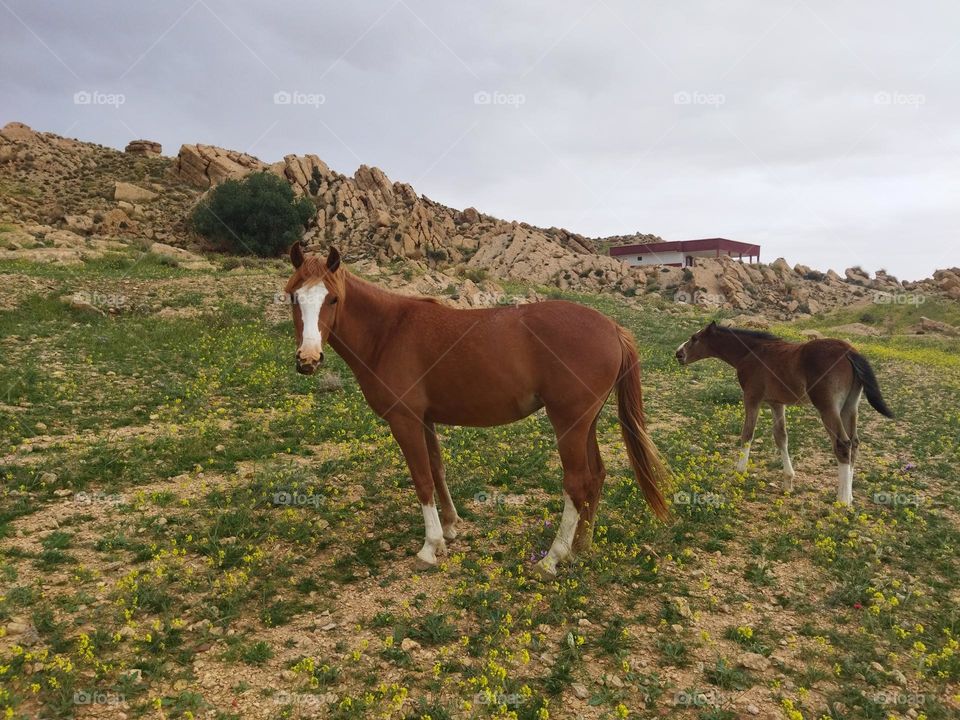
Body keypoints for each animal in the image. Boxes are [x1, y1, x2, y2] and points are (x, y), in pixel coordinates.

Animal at [284, 245, 668, 576]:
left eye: (332, 299)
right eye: (293, 297)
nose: (308, 360)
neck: (389, 332)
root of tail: (613, 328)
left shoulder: (404, 421)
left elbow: (422, 479)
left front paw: (430, 547)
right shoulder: (425, 420)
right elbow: (436, 470)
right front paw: (450, 527)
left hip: (568, 423)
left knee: (576, 483)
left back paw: (553, 558)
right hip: (586, 423)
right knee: (596, 476)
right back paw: (580, 547)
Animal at [676, 324, 892, 504]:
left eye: (694, 338)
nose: (678, 353)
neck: (750, 352)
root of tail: (851, 352)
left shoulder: (752, 397)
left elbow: (747, 434)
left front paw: (739, 472)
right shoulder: (776, 403)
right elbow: (781, 437)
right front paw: (788, 482)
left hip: (828, 407)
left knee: (843, 443)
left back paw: (843, 500)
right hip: (850, 406)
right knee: (854, 442)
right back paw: (850, 495)